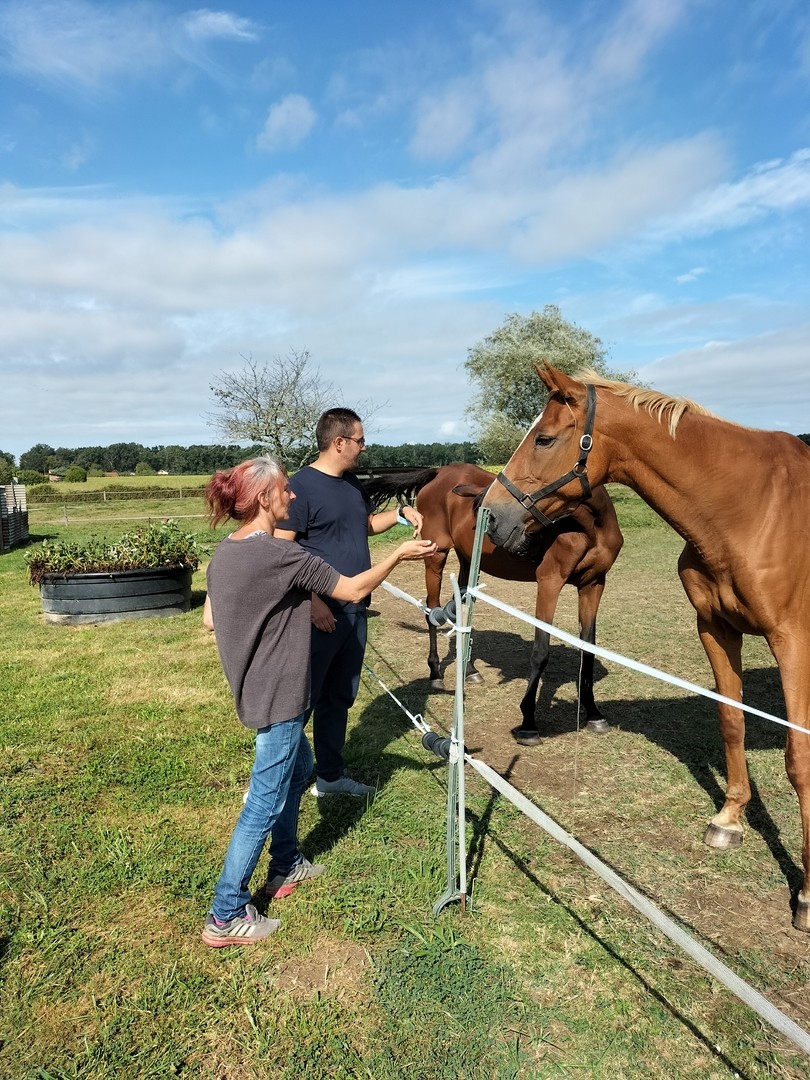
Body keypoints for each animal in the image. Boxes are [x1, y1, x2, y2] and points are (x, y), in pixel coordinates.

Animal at [365, 460, 626, 738]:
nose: (509, 535)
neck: (591, 527)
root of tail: (439, 471)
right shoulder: (549, 583)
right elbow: (541, 650)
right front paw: (528, 722)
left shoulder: (593, 584)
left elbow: (589, 648)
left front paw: (594, 713)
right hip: (436, 555)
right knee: (432, 611)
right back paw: (435, 672)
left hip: (467, 560)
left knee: (459, 612)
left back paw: (470, 671)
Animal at [481, 360, 810, 928]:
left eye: (544, 438)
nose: (492, 515)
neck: (751, 511)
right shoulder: (715, 629)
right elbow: (732, 720)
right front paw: (729, 819)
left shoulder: (793, 642)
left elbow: (799, 757)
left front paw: (808, 895)